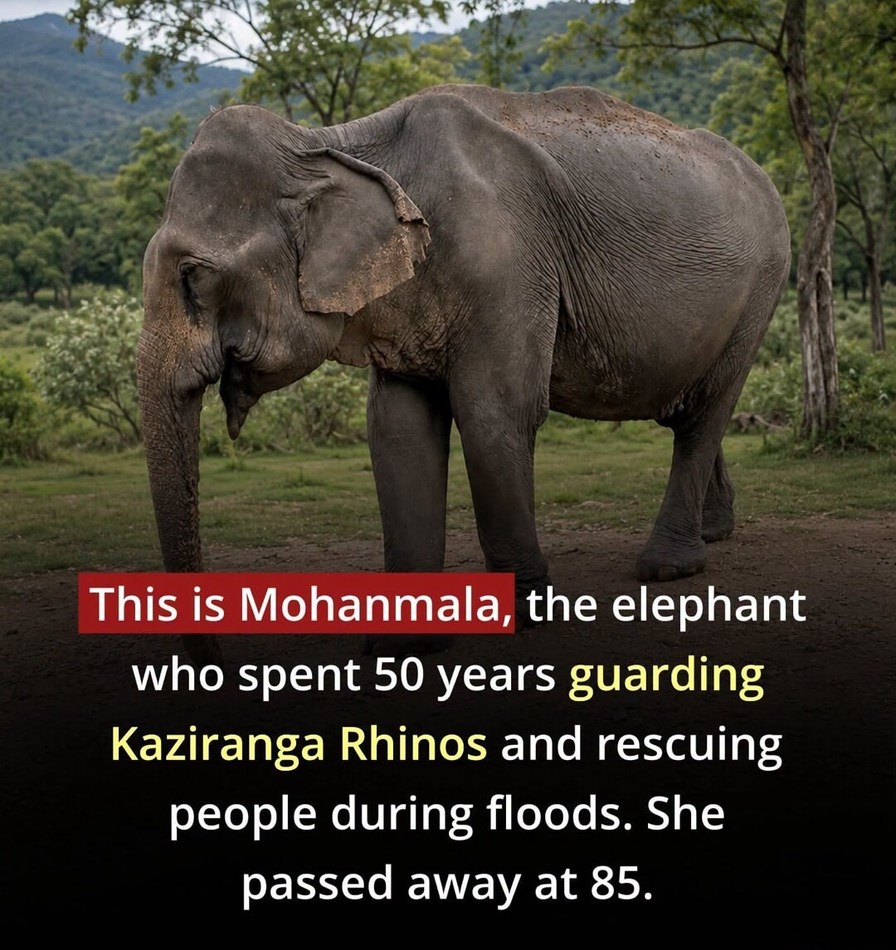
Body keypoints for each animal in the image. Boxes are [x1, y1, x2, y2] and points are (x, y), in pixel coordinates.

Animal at [137, 84, 790, 655]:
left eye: (193, 277)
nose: (218, 662)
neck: (334, 144)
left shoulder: (506, 260)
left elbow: (493, 412)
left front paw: (524, 616)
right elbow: (399, 432)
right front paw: (404, 646)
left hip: (763, 287)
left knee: (704, 414)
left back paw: (668, 567)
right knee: (686, 409)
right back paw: (715, 531)